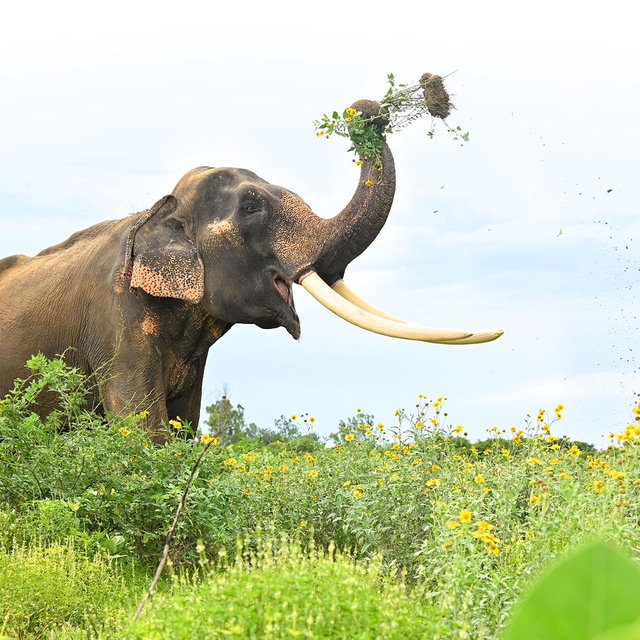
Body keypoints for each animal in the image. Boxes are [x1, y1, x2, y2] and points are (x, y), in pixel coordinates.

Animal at [0, 99, 502, 441]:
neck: (159, 209)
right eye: (251, 207)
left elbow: (182, 426)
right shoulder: (116, 318)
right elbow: (144, 429)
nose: (366, 111)